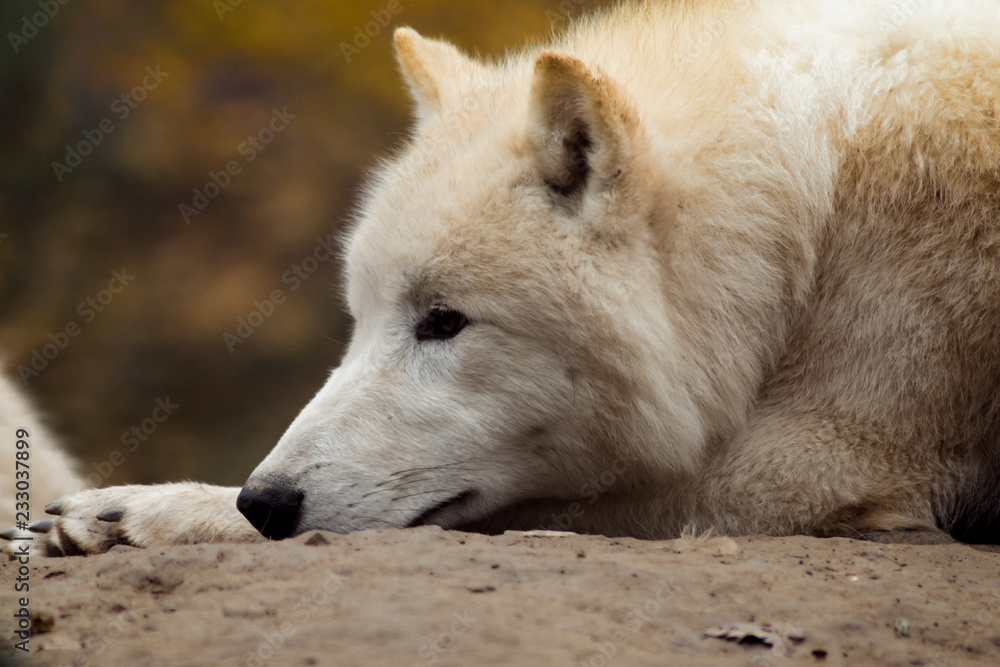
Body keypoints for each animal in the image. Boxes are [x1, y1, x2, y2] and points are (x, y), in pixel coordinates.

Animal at [8, 0, 1000, 556]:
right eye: (359, 321)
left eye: (444, 321)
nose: (266, 499)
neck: (809, 214)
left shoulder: (830, 469)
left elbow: (529, 507)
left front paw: (144, 510)